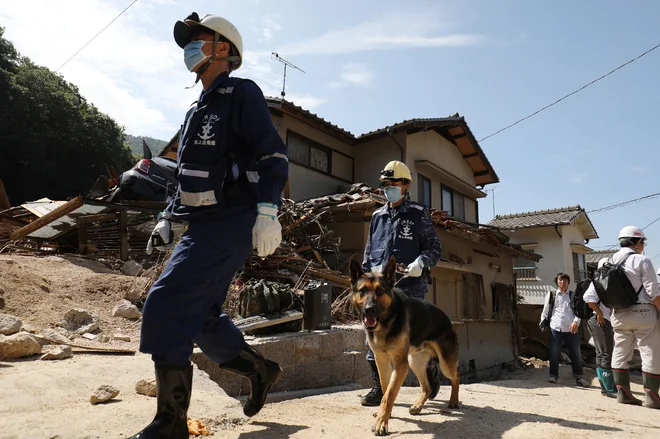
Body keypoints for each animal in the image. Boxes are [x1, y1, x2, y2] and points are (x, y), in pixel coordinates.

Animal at [350, 256, 458, 434]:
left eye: (380, 291)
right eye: (362, 291)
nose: (369, 309)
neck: (386, 321)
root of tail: (446, 319)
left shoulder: (400, 364)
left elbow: (390, 393)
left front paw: (382, 422)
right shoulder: (382, 361)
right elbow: (386, 388)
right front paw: (385, 414)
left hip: (444, 363)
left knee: (456, 376)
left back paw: (454, 400)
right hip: (415, 362)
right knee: (427, 387)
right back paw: (418, 406)